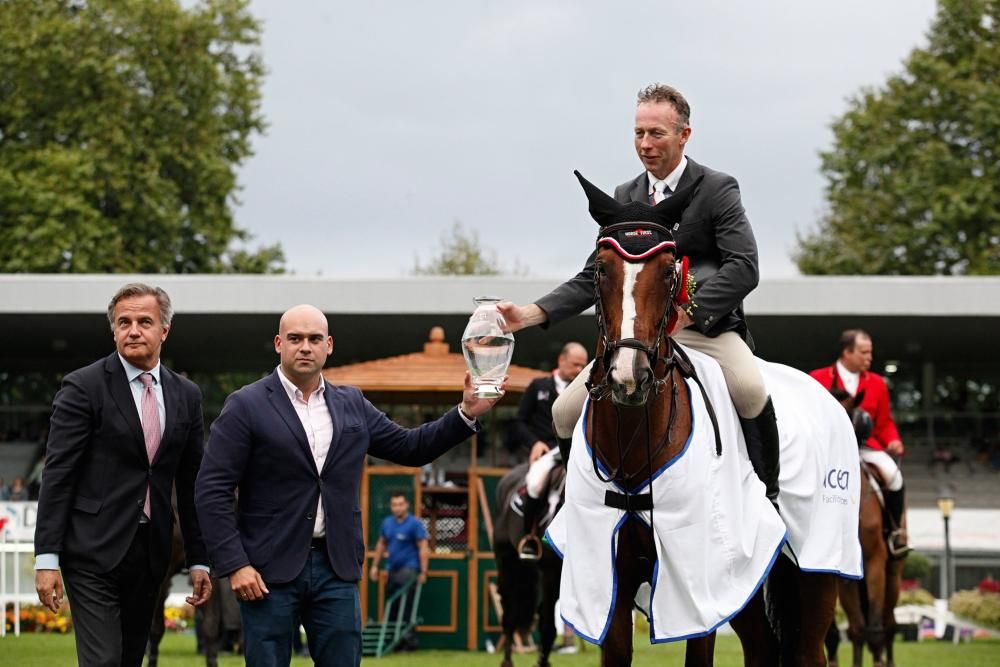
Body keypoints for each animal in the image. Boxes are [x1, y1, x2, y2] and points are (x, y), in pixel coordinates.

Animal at [568, 170, 840, 664]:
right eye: (599, 270)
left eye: (669, 270)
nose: (628, 378)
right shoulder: (606, 579)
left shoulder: (696, 584)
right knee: (761, 645)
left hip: (816, 572)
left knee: (809, 650)